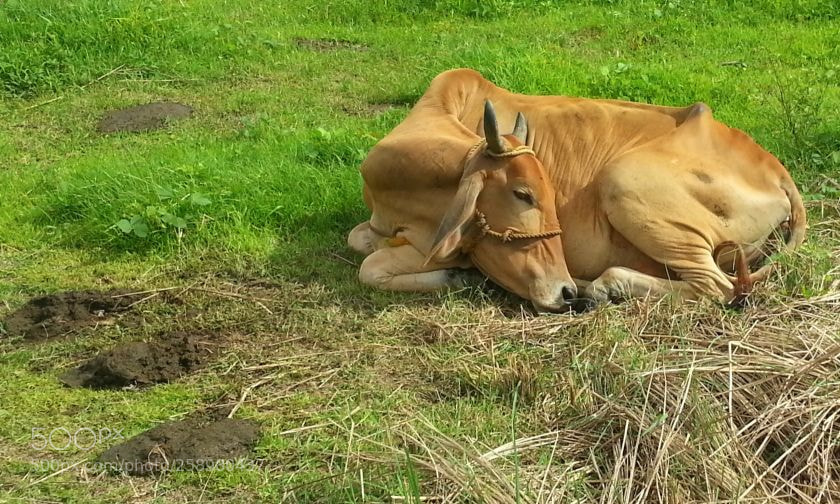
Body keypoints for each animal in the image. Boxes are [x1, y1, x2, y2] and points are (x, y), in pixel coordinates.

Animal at [347, 69, 806, 312]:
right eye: (524, 194)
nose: (564, 290)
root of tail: (776, 170)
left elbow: (369, 265)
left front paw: (456, 274)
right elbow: (361, 246)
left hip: (623, 182)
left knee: (717, 287)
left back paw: (603, 287)